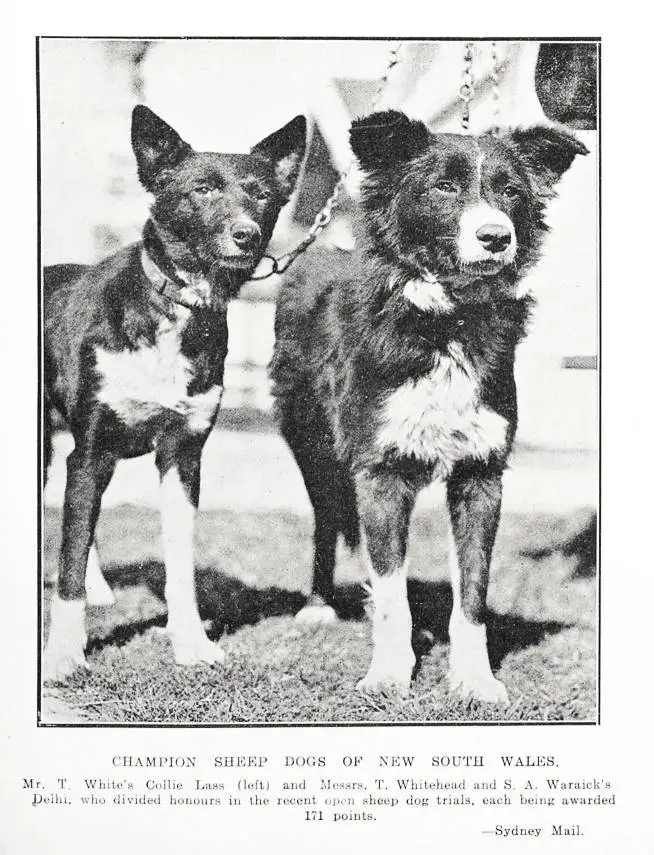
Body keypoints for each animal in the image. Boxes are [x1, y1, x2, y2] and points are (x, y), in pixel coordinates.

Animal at [46, 105, 308, 684]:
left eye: (261, 194)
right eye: (202, 190)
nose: (246, 235)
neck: (175, 310)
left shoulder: (183, 455)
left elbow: (181, 566)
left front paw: (191, 644)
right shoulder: (92, 450)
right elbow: (68, 561)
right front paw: (63, 654)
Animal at [272, 110, 588, 704]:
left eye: (511, 192)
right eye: (443, 187)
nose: (496, 236)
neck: (446, 323)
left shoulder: (481, 475)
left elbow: (472, 592)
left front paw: (474, 679)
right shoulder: (379, 472)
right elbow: (392, 591)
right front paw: (389, 674)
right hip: (314, 448)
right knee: (327, 522)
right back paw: (319, 606)